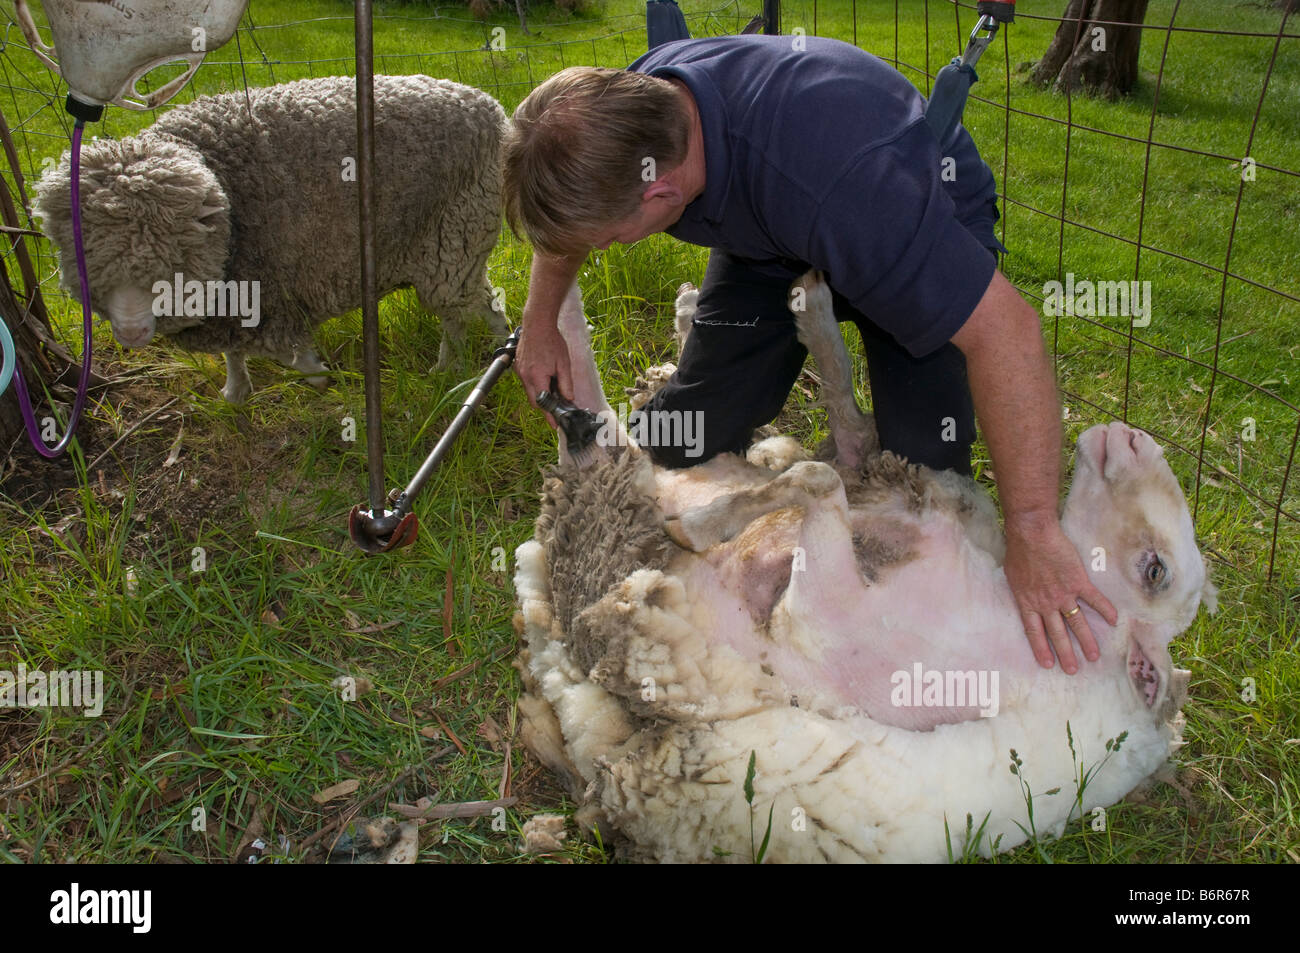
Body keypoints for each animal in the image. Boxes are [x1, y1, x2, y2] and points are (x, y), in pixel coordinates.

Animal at [34, 75, 508, 403]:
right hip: (457, 243)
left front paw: (314, 371)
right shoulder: (232, 296)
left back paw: (454, 365)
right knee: (482, 300)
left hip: (453, 237)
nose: (131, 333)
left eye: (171, 258)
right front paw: (235, 391)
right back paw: (488, 348)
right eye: (86, 257)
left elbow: (286, 349)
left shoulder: (270, 287)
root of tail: (488, 105)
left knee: (458, 312)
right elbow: (234, 351)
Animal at [512, 273, 1216, 863]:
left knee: (600, 452)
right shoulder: (890, 486)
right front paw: (814, 311)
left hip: (613, 561)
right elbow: (843, 411)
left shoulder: (827, 621)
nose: (1131, 437)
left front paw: (707, 524)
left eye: (1155, 571)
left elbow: (815, 478)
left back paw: (567, 371)